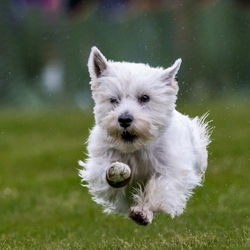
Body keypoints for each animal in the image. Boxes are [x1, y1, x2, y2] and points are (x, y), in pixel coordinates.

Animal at [78, 46, 211, 225]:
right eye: (114, 100)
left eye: (145, 97)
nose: (124, 119)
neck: (137, 147)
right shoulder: (101, 160)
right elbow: (105, 175)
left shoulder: (172, 170)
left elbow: (160, 188)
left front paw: (142, 212)